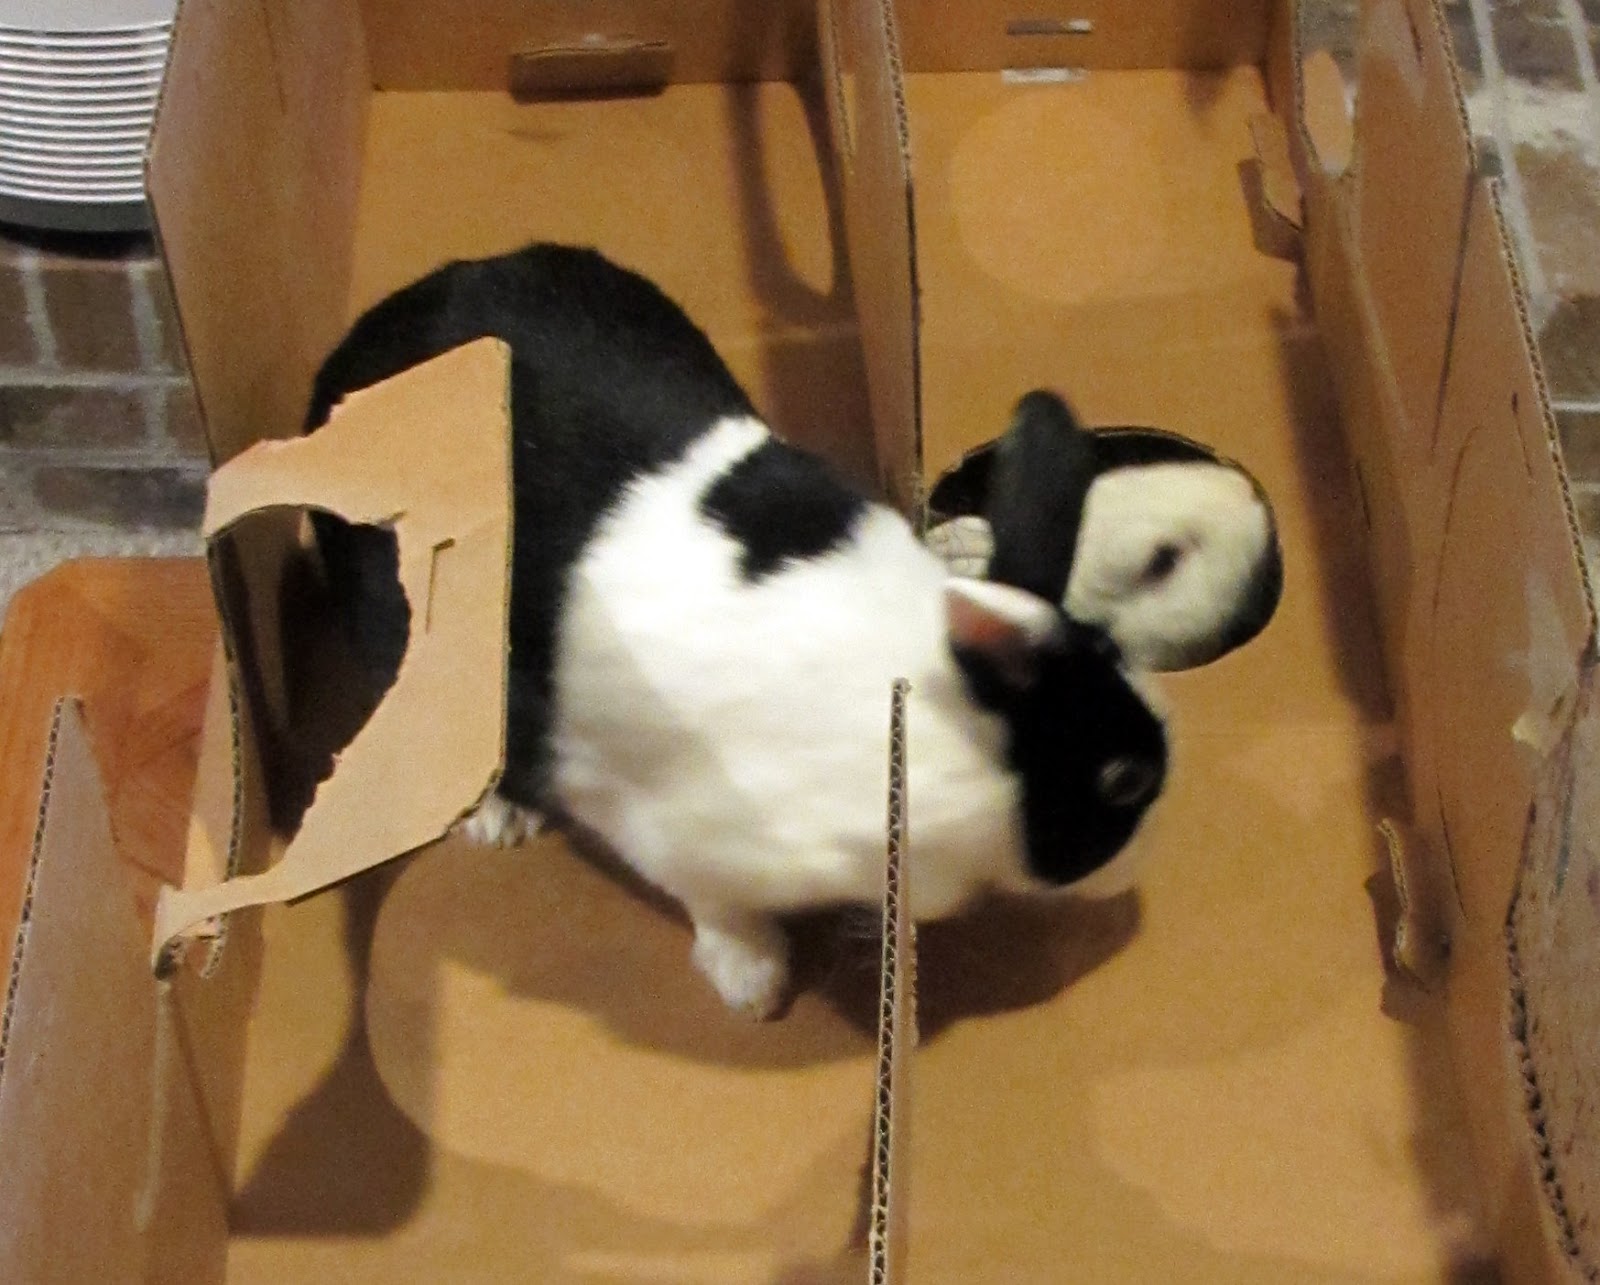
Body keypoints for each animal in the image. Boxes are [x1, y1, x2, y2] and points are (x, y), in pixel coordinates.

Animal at [305, 242, 1167, 1019]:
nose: (1138, 868)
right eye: (1122, 779)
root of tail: (348, 356)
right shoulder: (665, 832)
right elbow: (717, 904)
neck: (928, 720)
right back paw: (498, 817)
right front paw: (752, 985)